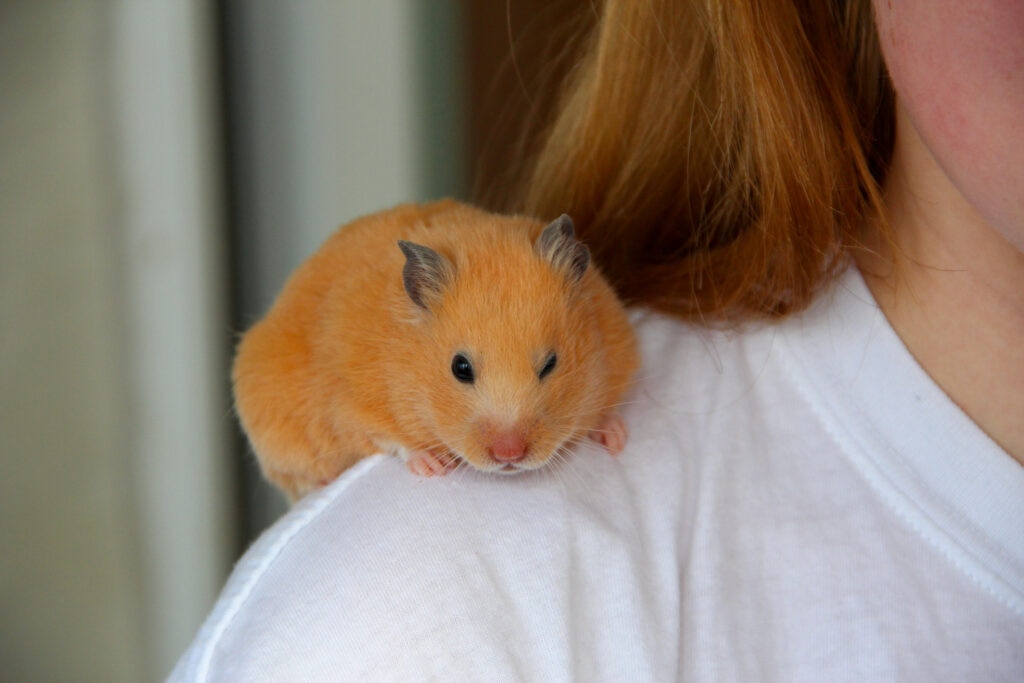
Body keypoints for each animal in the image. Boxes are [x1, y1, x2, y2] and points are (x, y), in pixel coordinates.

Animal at [233, 199, 639, 501]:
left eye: (551, 364)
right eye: (460, 368)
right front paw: (433, 465)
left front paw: (615, 437)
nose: (509, 457)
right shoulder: (350, 404)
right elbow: (387, 437)